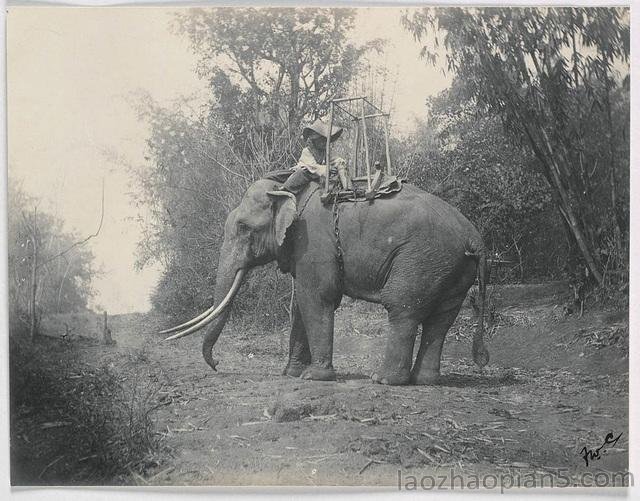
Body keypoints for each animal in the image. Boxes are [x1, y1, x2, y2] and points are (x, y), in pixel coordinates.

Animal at [161, 178, 490, 384]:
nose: (217, 364)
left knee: (403, 308)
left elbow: (316, 298)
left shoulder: (313, 241)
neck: (289, 190)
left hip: (421, 259)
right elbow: (300, 306)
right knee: (441, 319)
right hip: (450, 267)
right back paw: (425, 381)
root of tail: (475, 237)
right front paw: (290, 374)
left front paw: (313, 377)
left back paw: (384, 380)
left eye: (243, 227)